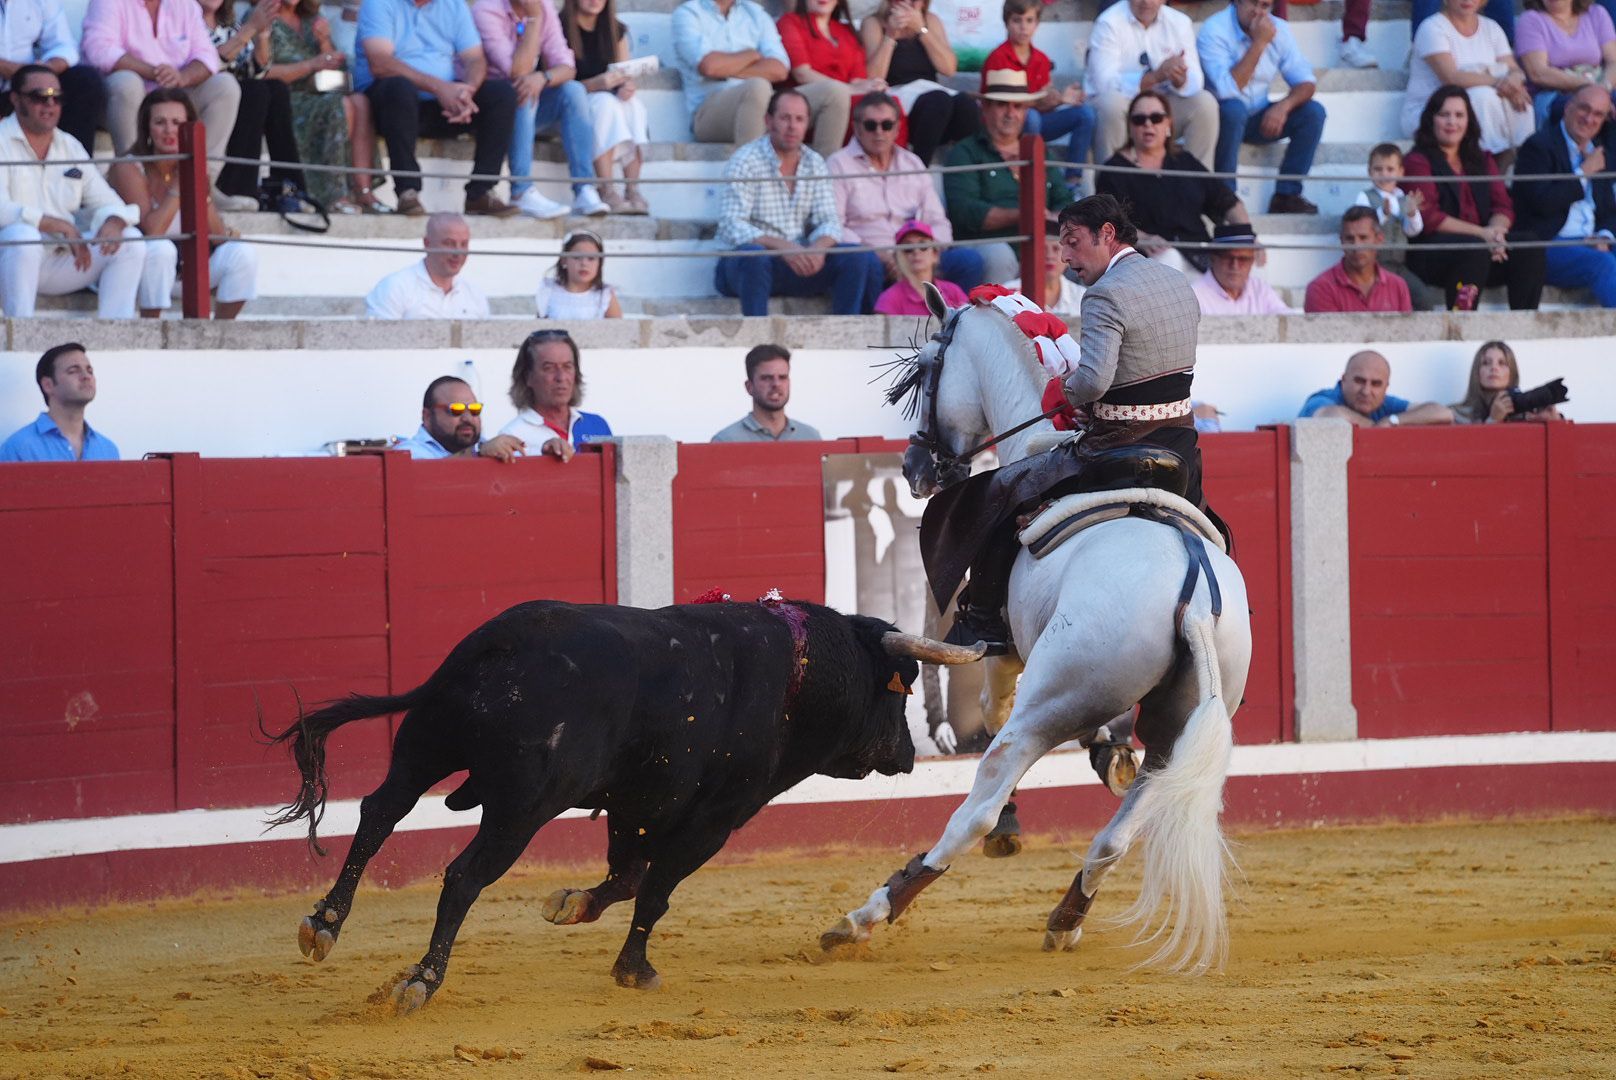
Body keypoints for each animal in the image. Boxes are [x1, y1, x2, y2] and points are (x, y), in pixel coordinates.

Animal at [265, 598, 976, 1002]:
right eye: (901, 688)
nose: (907, 756)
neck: (801, 670)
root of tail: (501, 641)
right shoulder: (713, 820)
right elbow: (656, 890)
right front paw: (635, 969)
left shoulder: (636, 803)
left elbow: (627, 877)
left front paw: (570, 904)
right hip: (522, 807)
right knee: (463, 876)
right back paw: (420, 980)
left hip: (423, 751)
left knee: (377, 817)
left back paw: (323, 924)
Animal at [820, 284, 1247, 970]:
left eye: (926, 371)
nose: (913, 466)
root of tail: (1190, 592)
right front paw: (1108, 749)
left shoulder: (1004, 654)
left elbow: (990, 710)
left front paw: (1018, 821)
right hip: (1181, 724)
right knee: (1118, 833)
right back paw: (1066, 916)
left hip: (1050, 704)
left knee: (979, 802)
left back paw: (867, 914)